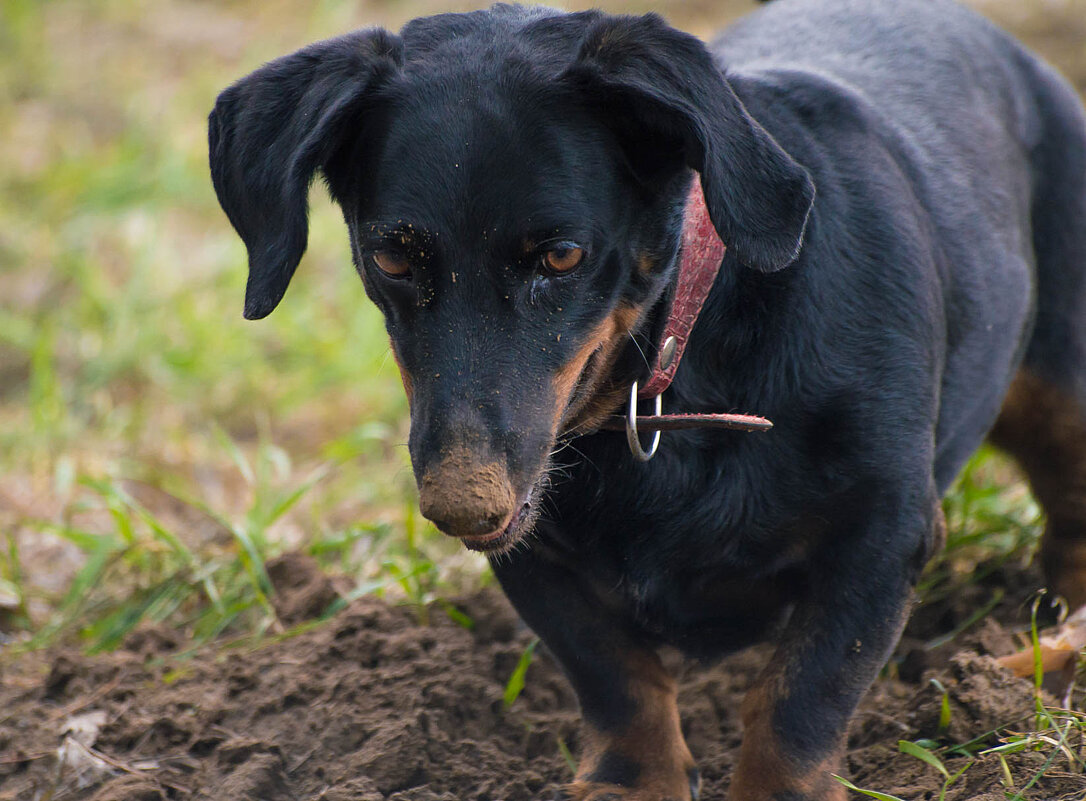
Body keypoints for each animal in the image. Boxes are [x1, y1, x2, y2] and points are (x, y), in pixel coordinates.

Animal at [209, 1, 1086, 794]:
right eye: (391, 258)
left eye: (562, 256)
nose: (467, 506)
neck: (676, 365)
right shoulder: (542, 559)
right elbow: (613, 675)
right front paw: (633, 780)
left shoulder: (882, 534)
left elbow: (801, 695)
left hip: (1063, 389)